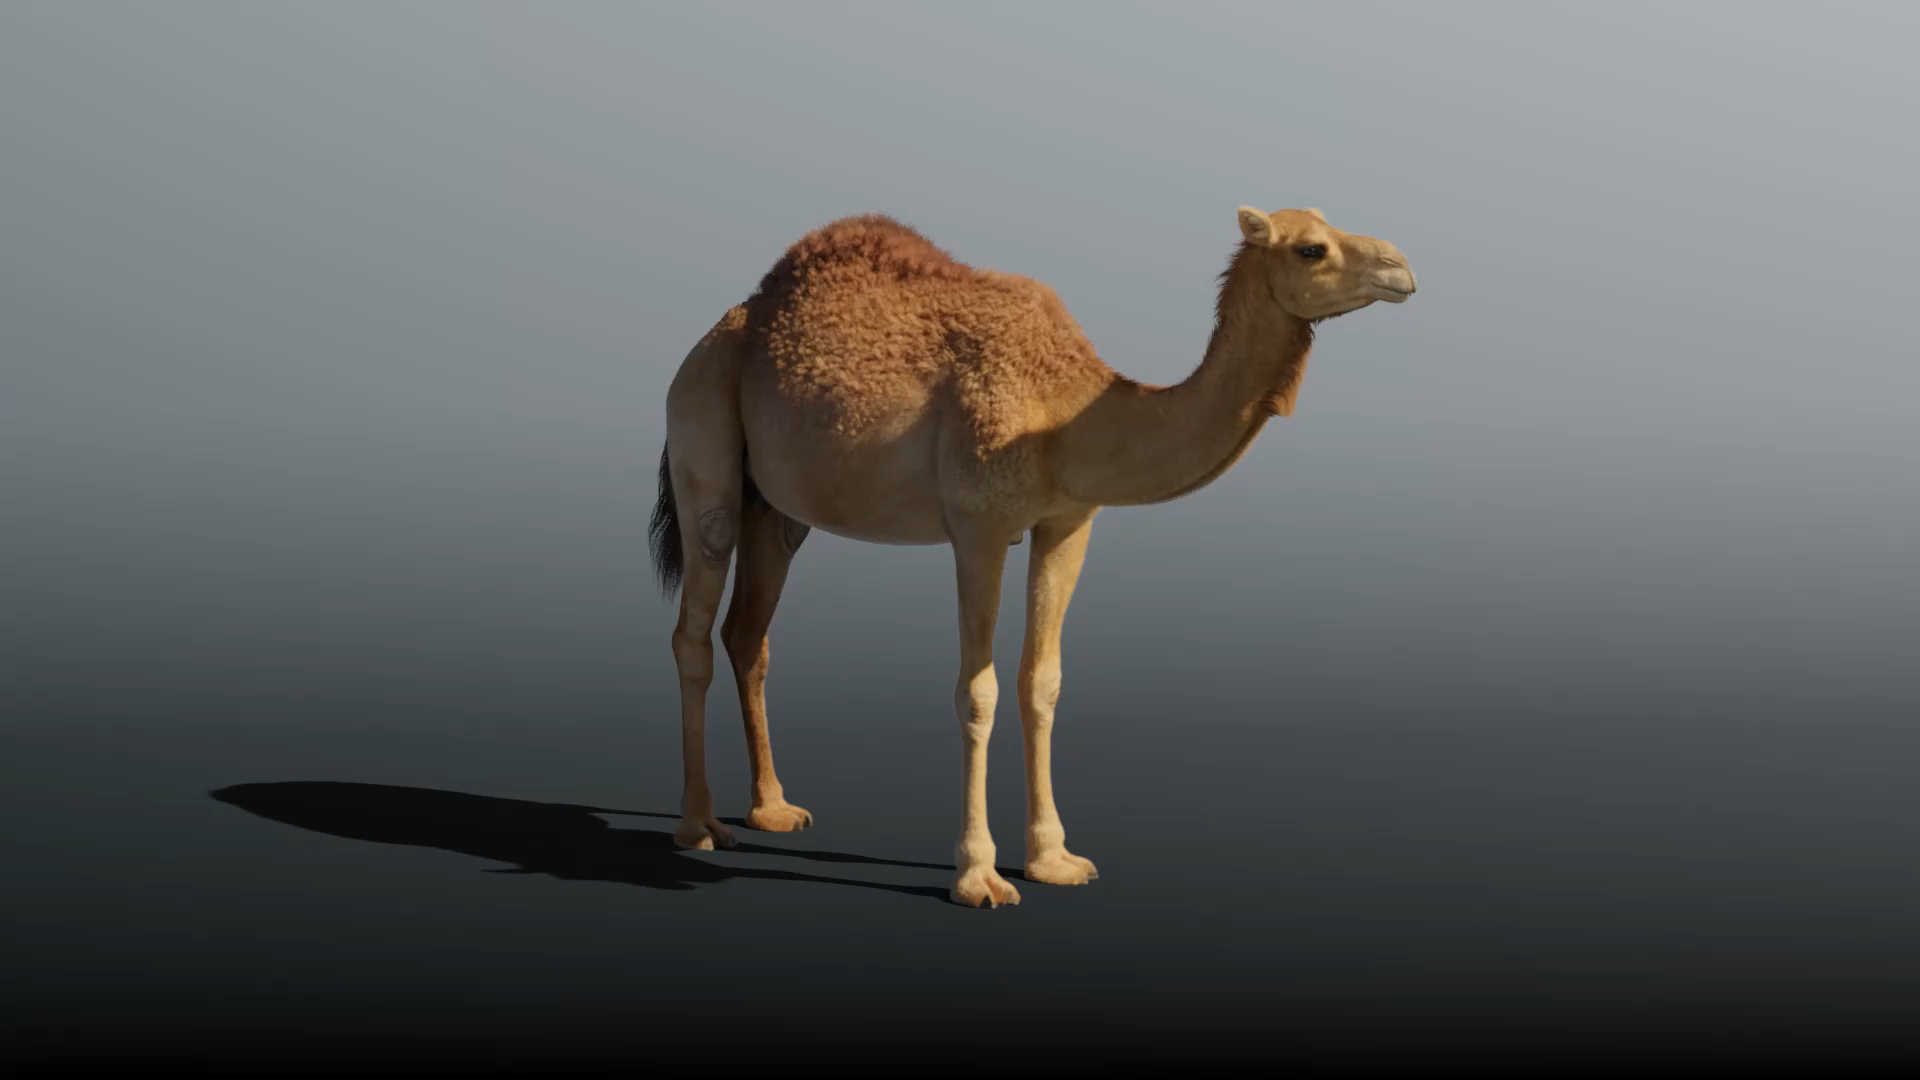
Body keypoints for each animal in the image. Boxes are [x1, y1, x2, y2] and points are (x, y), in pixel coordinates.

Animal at [648, 205, 1416, 907]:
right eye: (1312, 248)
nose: (1402, 268)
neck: (1069, 411)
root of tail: (721, 329)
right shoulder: (979, 526)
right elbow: (978, 691)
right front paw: (979, 875)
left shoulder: (1067, 523)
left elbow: (1042, 682)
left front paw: (1054, 858)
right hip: (704, 433)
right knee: (694, 629)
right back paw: (700, 825)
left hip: (779, 508)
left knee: (749, 633)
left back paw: (773, 809)